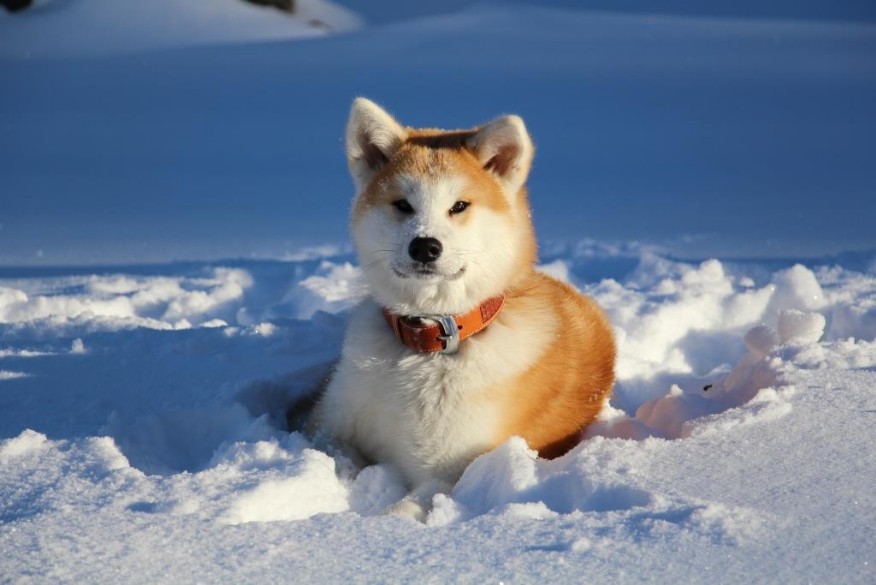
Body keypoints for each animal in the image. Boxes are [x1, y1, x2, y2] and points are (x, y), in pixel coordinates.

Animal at [310, 97, 616, 520]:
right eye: (402, 204)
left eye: (459, 206)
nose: (424, 246)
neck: (423, 343)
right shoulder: (326, 425)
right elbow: (335, 455)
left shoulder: (453, 470)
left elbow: (402, 508)